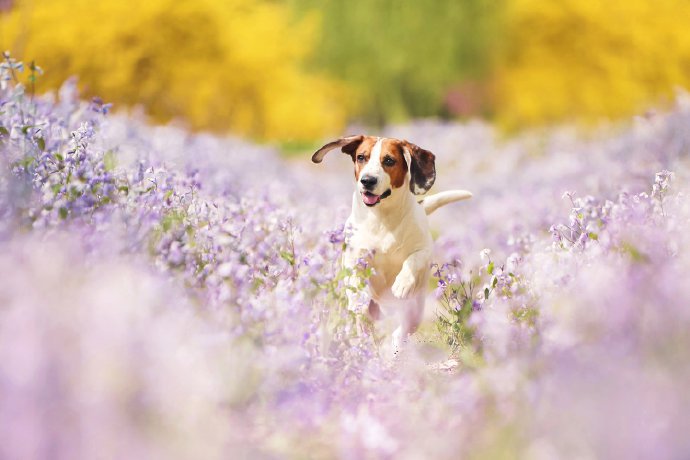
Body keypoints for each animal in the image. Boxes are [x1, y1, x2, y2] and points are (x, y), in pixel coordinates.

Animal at [310, 137, 468, 352]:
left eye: (389, 161)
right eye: (361, 157)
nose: (367, 180)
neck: (382, 218)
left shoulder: (424, 249)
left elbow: (413, 259)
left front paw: (402, 283)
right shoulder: (354, 256)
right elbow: (356, 276)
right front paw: (359, 294)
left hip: (414, 312)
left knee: (399, 332)